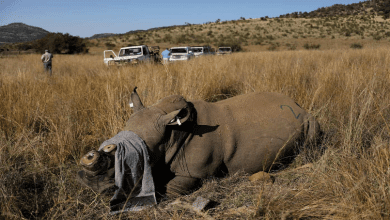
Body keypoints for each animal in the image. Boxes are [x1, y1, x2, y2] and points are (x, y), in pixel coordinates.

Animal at [77, 87, 320, 199]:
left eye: (128, 161)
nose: (92, 186)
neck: (171, 132)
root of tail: (298, 107)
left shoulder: (193, 173)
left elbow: (169, 188)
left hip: (308, 120)